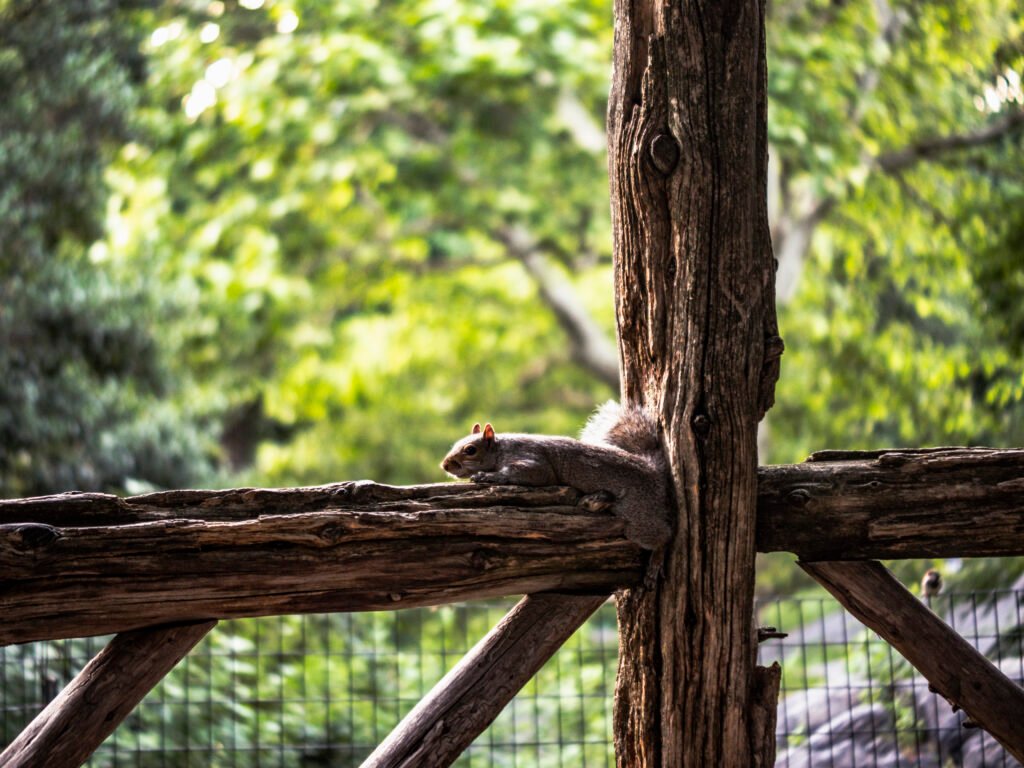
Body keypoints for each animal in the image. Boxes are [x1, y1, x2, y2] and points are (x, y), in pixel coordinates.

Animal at [441, 401, 671, 549]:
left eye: (470, 450)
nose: (444, 465)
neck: (501, 449)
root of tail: (654, 472)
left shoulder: (534, 461)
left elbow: (530, 473)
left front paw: (488, 476)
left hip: (640, 517)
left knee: (660, 537)